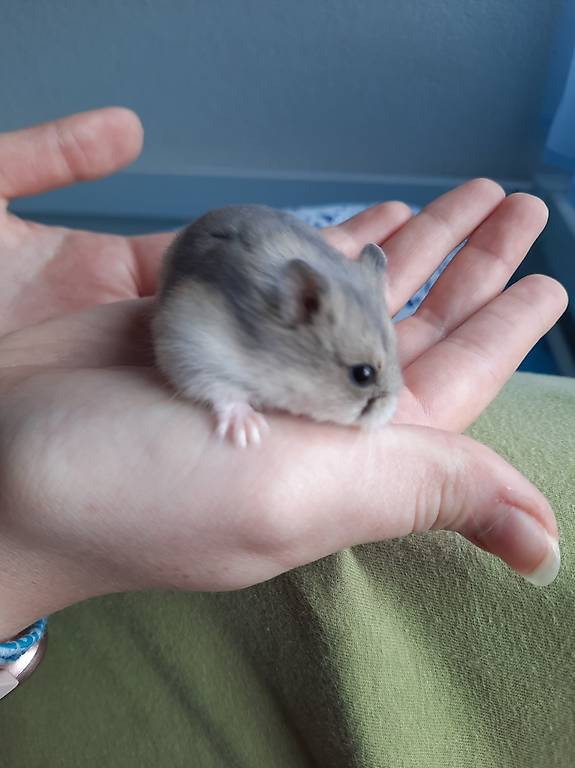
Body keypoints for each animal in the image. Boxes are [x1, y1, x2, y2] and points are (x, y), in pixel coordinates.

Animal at [152, 204, 402, 447]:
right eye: (363, 374)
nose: (389, 414)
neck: (278, 357)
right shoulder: (193, 346)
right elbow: (223, 391)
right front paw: (250, 432)